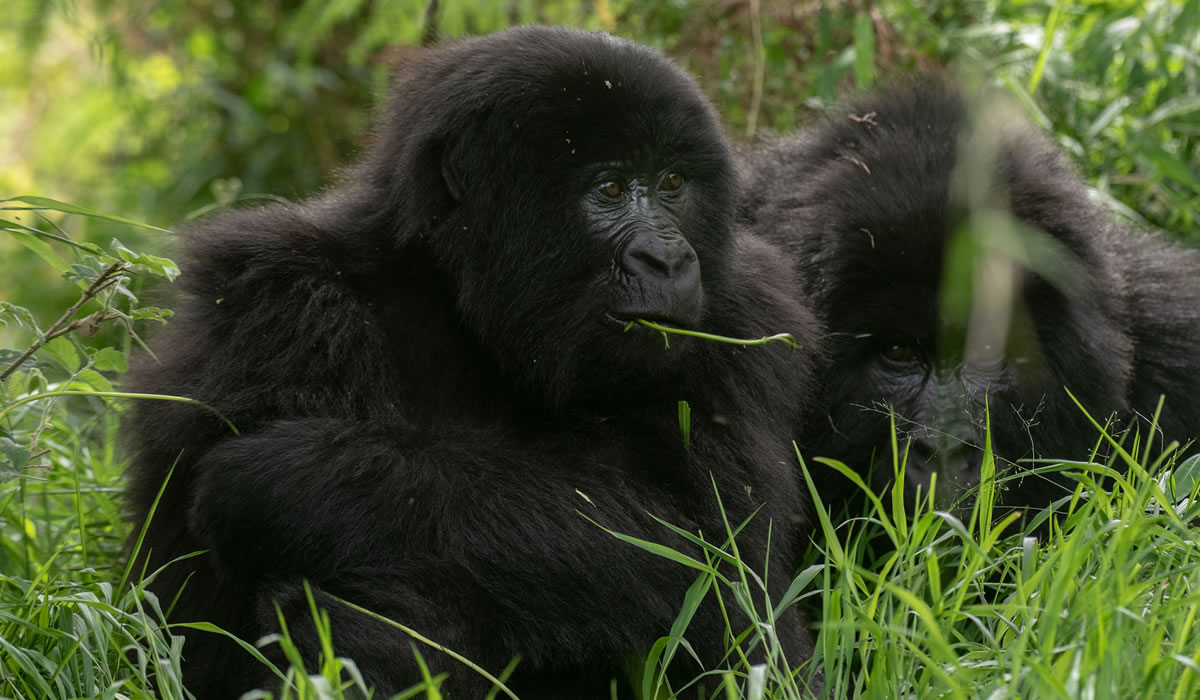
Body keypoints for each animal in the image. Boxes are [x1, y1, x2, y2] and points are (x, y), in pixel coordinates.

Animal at [126, 24, 825, 696]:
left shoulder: (751, 314)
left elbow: (719, 557)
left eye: (673, 183)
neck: (463, 301)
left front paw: (290, 479)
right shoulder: (279, 296)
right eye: (609, 187)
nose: (671, 261)